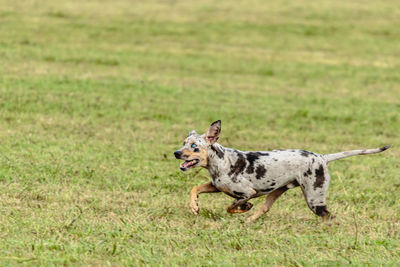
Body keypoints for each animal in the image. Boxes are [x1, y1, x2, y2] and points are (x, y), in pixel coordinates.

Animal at [174, 121, 390, 222]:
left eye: (194, 146)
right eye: (183, 143)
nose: (176, 153)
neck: (222, 161)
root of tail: (322, 157)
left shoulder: (248, 192)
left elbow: (233, 205)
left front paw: (243, 208)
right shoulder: (215, 186)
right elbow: (195, 188)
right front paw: (194, 207)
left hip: (314, 200)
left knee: (329, 217)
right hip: (277, 193)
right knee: (264, 209)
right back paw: (249, 222)